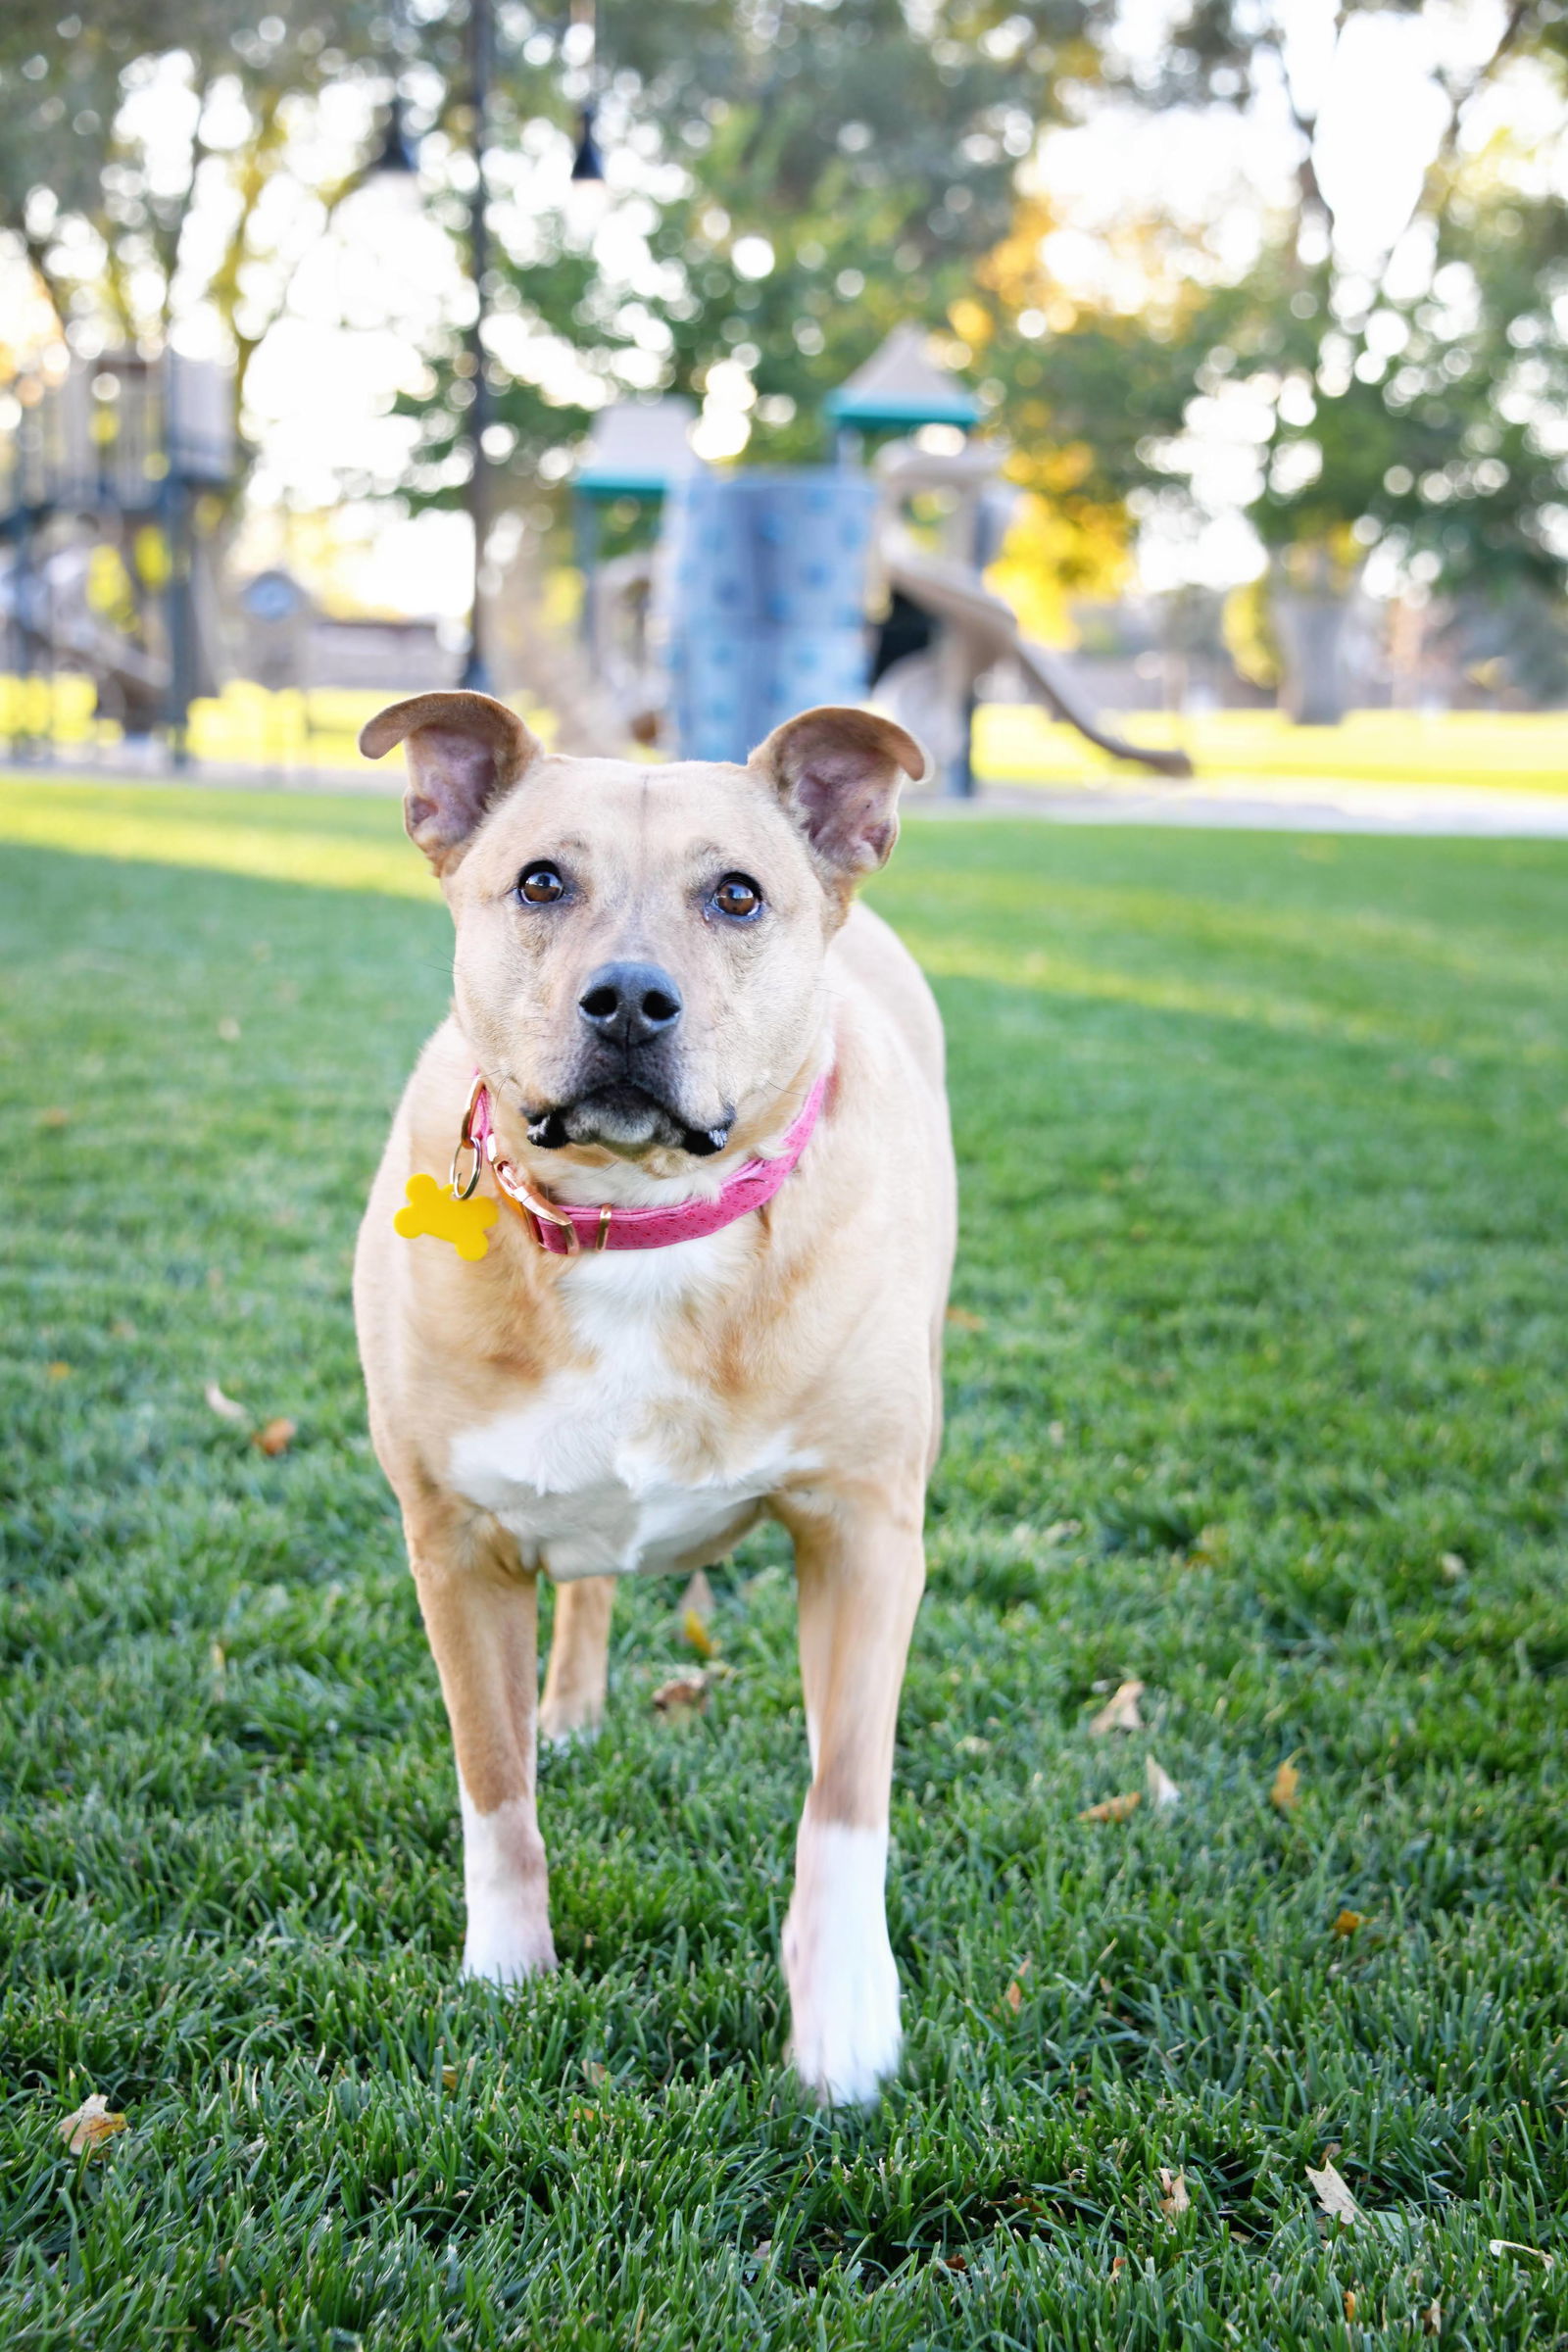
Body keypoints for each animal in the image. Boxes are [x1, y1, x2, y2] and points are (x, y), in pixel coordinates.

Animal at [352, 686, 958, 2107]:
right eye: (539, 881)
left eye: (737, 895)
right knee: (583, 1592)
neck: (638, 1226)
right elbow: (494, 1781)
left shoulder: (865, 1535)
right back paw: (571, 1707)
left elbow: (845, 1798)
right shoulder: (452, 1542)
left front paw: (845, 2018)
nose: (629, 998)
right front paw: (508, 1968)